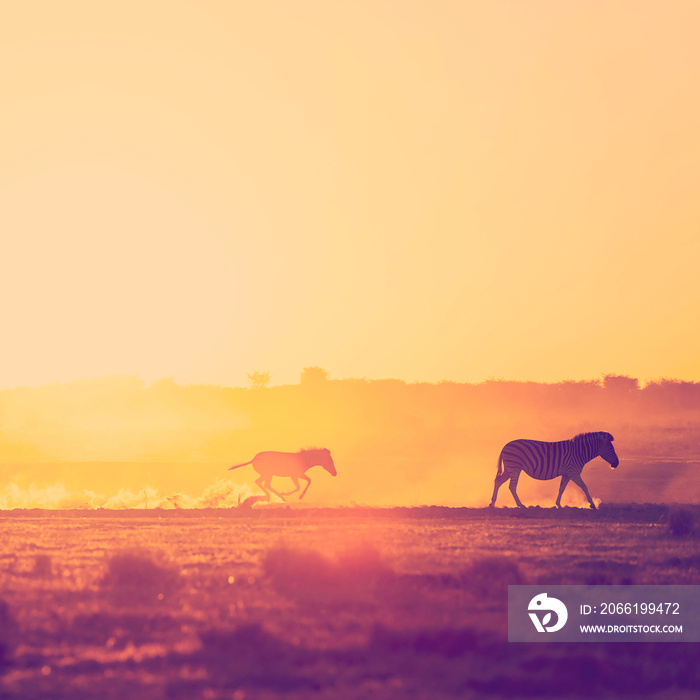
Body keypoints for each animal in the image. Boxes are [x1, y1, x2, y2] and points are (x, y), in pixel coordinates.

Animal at [486, 432, 616, 508]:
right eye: (610, 448)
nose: (617, 463)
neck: (579, 452)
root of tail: (505, 446)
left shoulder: (567, 474)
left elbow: (561, 489)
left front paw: (558, 504)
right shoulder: (573, 472)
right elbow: (584, 486)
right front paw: (592, 504)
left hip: (509, 468)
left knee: (498, 481)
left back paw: (492, 503)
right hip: (515, 467)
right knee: (512, 486)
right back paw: (520, 504)